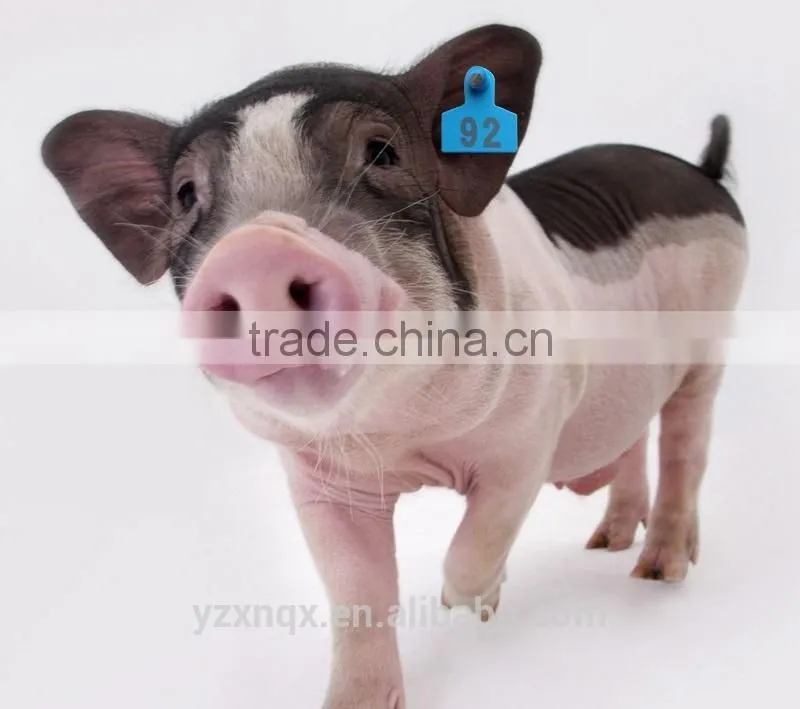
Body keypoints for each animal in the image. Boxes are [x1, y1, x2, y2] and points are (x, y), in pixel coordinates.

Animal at [40, 24, 747, 709]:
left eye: (382, 152)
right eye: (187, 194)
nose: (257, 247)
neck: (403, 438)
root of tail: (702, 173)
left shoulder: (532, 434)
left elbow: (477, 540)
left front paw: (470, 606)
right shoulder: (319, 481)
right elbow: (356, 590)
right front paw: (353, 701)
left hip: (712, 343)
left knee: (686, 449)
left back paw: (658, 571)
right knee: (636, 440)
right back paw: (606, 543)